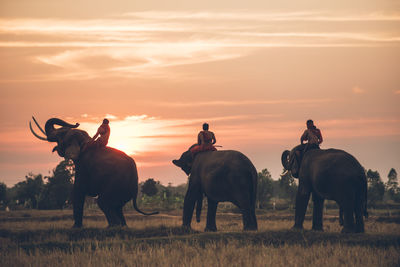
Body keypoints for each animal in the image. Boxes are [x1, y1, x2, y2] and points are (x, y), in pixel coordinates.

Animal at [29, 117, 158, 228]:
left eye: (61, 134)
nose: (76, 123)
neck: (86, 141)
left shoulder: (83, 166)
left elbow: (78, 190)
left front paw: (75, 227)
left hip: (116, 184)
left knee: (103, 202)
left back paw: (112, 227)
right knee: (117, 207)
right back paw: (122, 226)